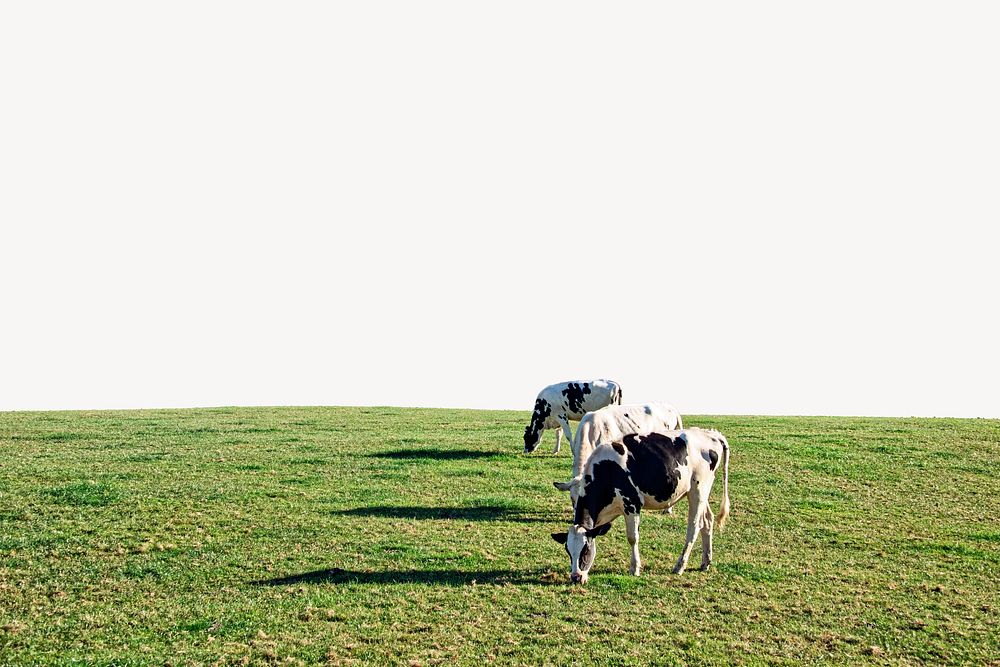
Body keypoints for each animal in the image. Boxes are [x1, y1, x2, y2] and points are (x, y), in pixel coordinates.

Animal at [552, 430, 732, 580]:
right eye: (568, 551)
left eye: (586, 549)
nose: (576, 577)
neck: (607, 470)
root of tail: (712, 434)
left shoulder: (632, 505)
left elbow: (632, 538)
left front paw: (635, 568)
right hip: (699, 493)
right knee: (707, 521)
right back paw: (706, 561)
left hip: (698, 491)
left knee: (694, 527)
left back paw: (680, 566)